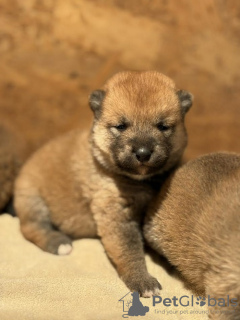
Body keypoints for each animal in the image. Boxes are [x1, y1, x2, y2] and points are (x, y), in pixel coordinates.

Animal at [14, 71, 192, 296]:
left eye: (163, 126)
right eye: (121, 126)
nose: (143, 153)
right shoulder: (116, 215)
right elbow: (130, 251)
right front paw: (142, 281)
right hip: (32, 200)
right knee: (31, 228)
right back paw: (59, 243)